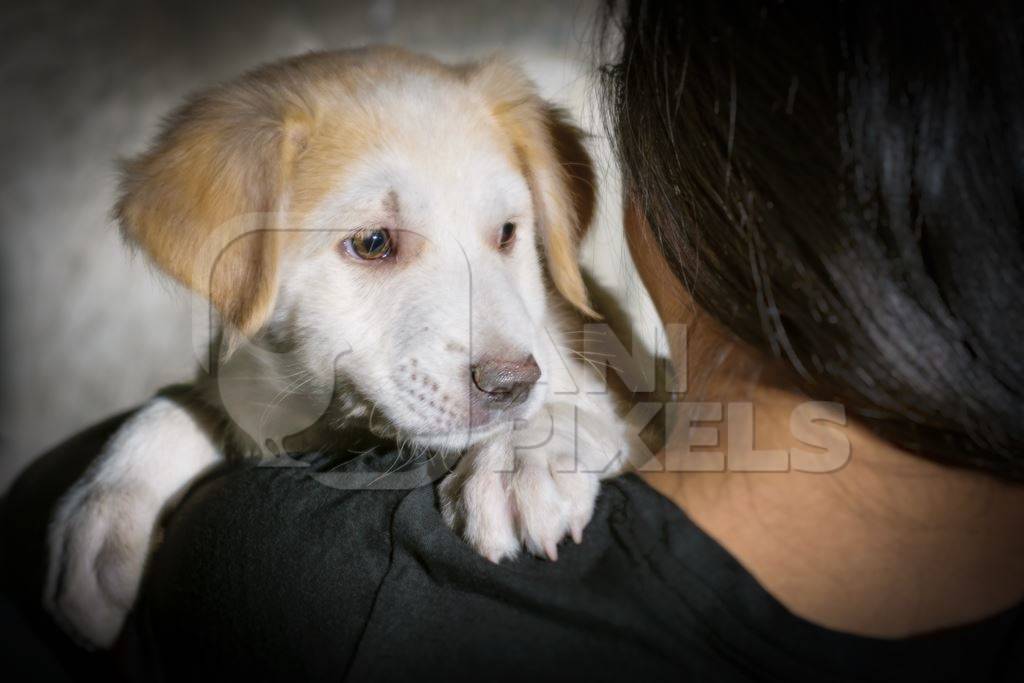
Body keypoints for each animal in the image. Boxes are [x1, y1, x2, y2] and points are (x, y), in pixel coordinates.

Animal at [46, 46, 630, 647]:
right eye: (372, 243)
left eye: (508, 234)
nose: (511, 384)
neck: (337, 421)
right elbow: (181, 405)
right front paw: (104, 511)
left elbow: (574, 405)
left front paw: (519, 455)